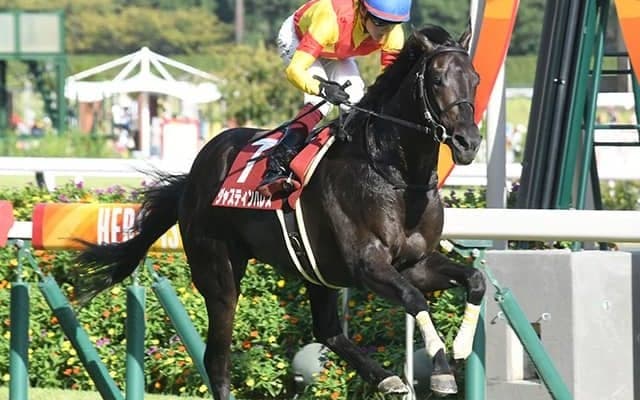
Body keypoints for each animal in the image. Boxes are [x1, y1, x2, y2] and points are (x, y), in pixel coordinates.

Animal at [72, 25, 485, 400]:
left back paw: (386, 378)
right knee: (216, 360)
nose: (468, 142)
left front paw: (461, 347)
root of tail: (195, 173)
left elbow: (474, 280)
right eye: (436, 79)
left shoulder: (414, 263)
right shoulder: (367, 265)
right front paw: (443, 372)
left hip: (317, 272)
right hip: (218, 272)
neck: (395, 175)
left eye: (475, 79)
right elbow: (415, 299)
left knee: (327, 331)